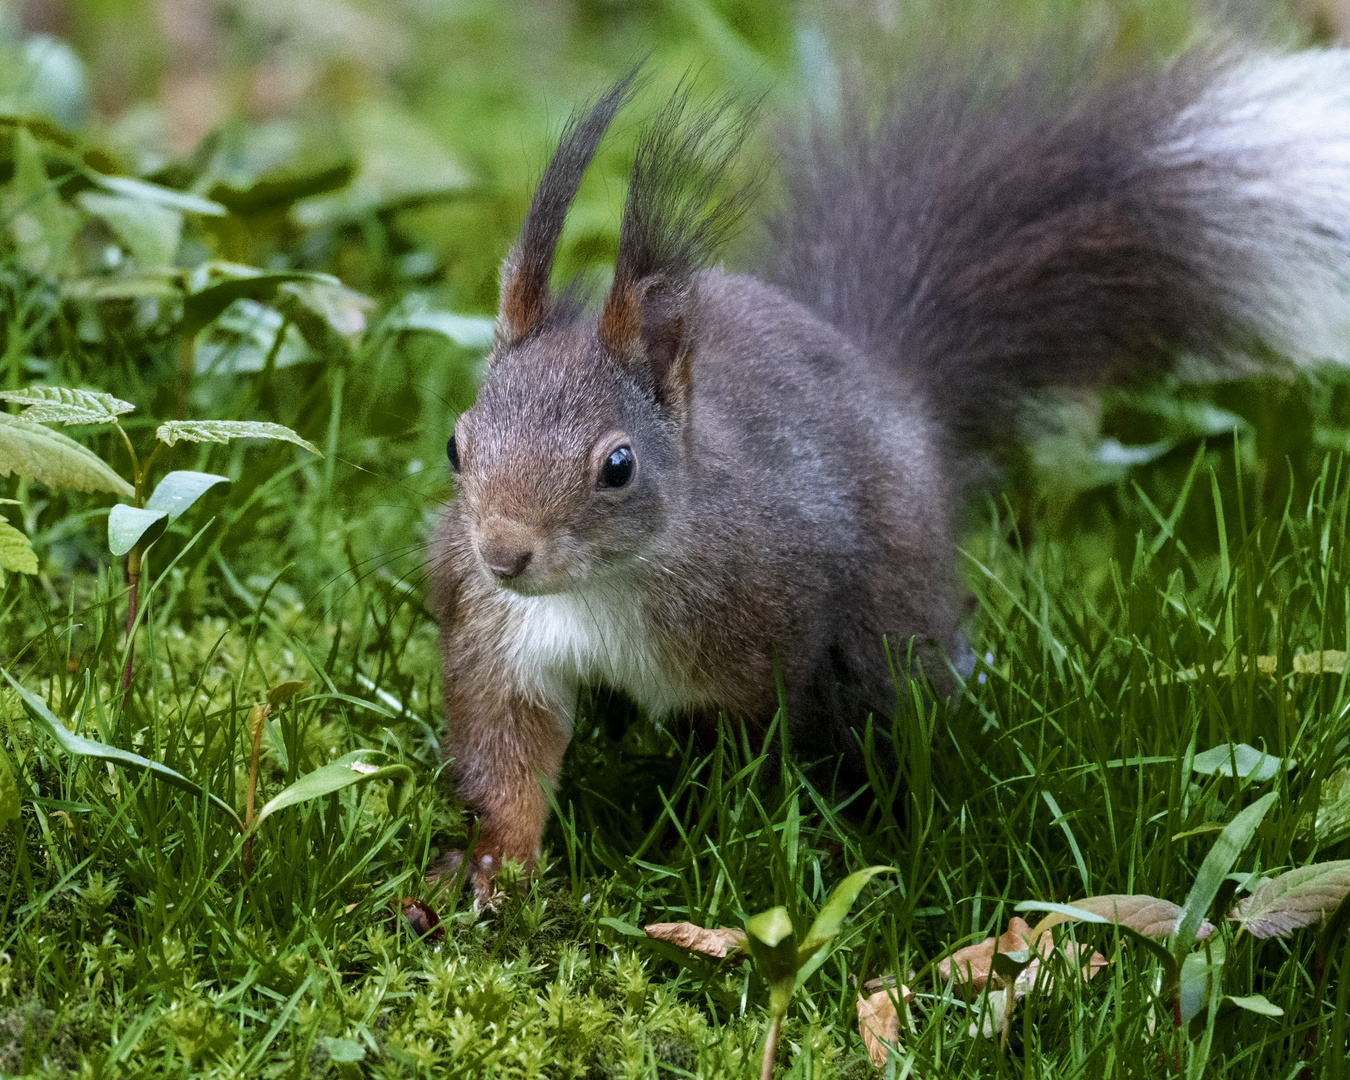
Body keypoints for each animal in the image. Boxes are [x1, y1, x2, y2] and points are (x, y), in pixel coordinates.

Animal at [426, 48, 1350, 896]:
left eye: (617, 465)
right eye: (456, 445)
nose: (503, 554)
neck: (597, 592)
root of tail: (890, 387)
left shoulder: (764, 637)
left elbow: (752, 753)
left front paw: (732, 848)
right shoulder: (496, 638)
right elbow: (509, 759)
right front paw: (489, 870)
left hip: (889, 617)